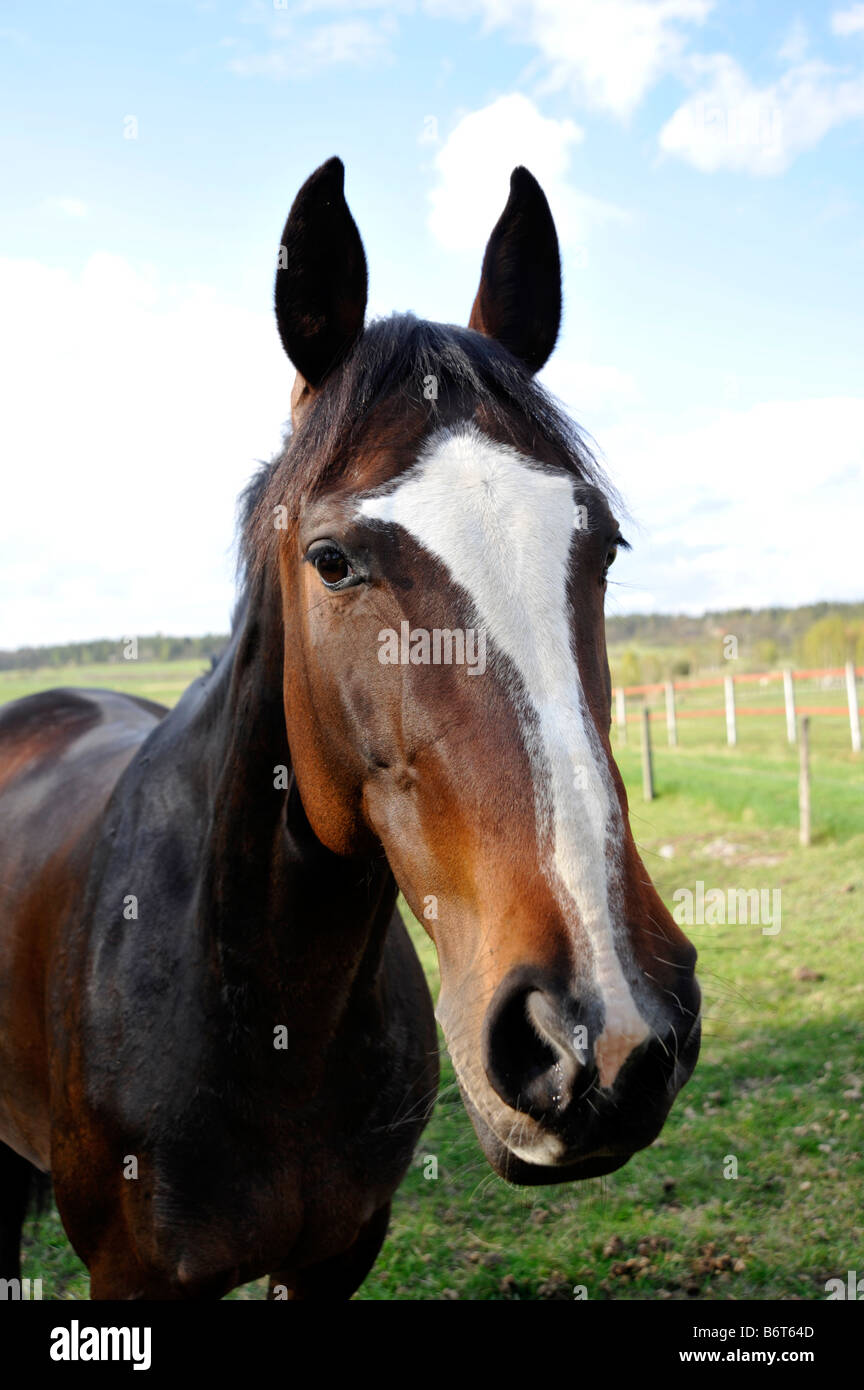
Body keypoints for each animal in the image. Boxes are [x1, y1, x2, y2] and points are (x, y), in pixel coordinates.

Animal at [0, 157, 700, 1295]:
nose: (606, 1030)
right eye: (331, 561)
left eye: (603, 545)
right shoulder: (132, 1276)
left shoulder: (340, 1253)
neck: (273, 1011)